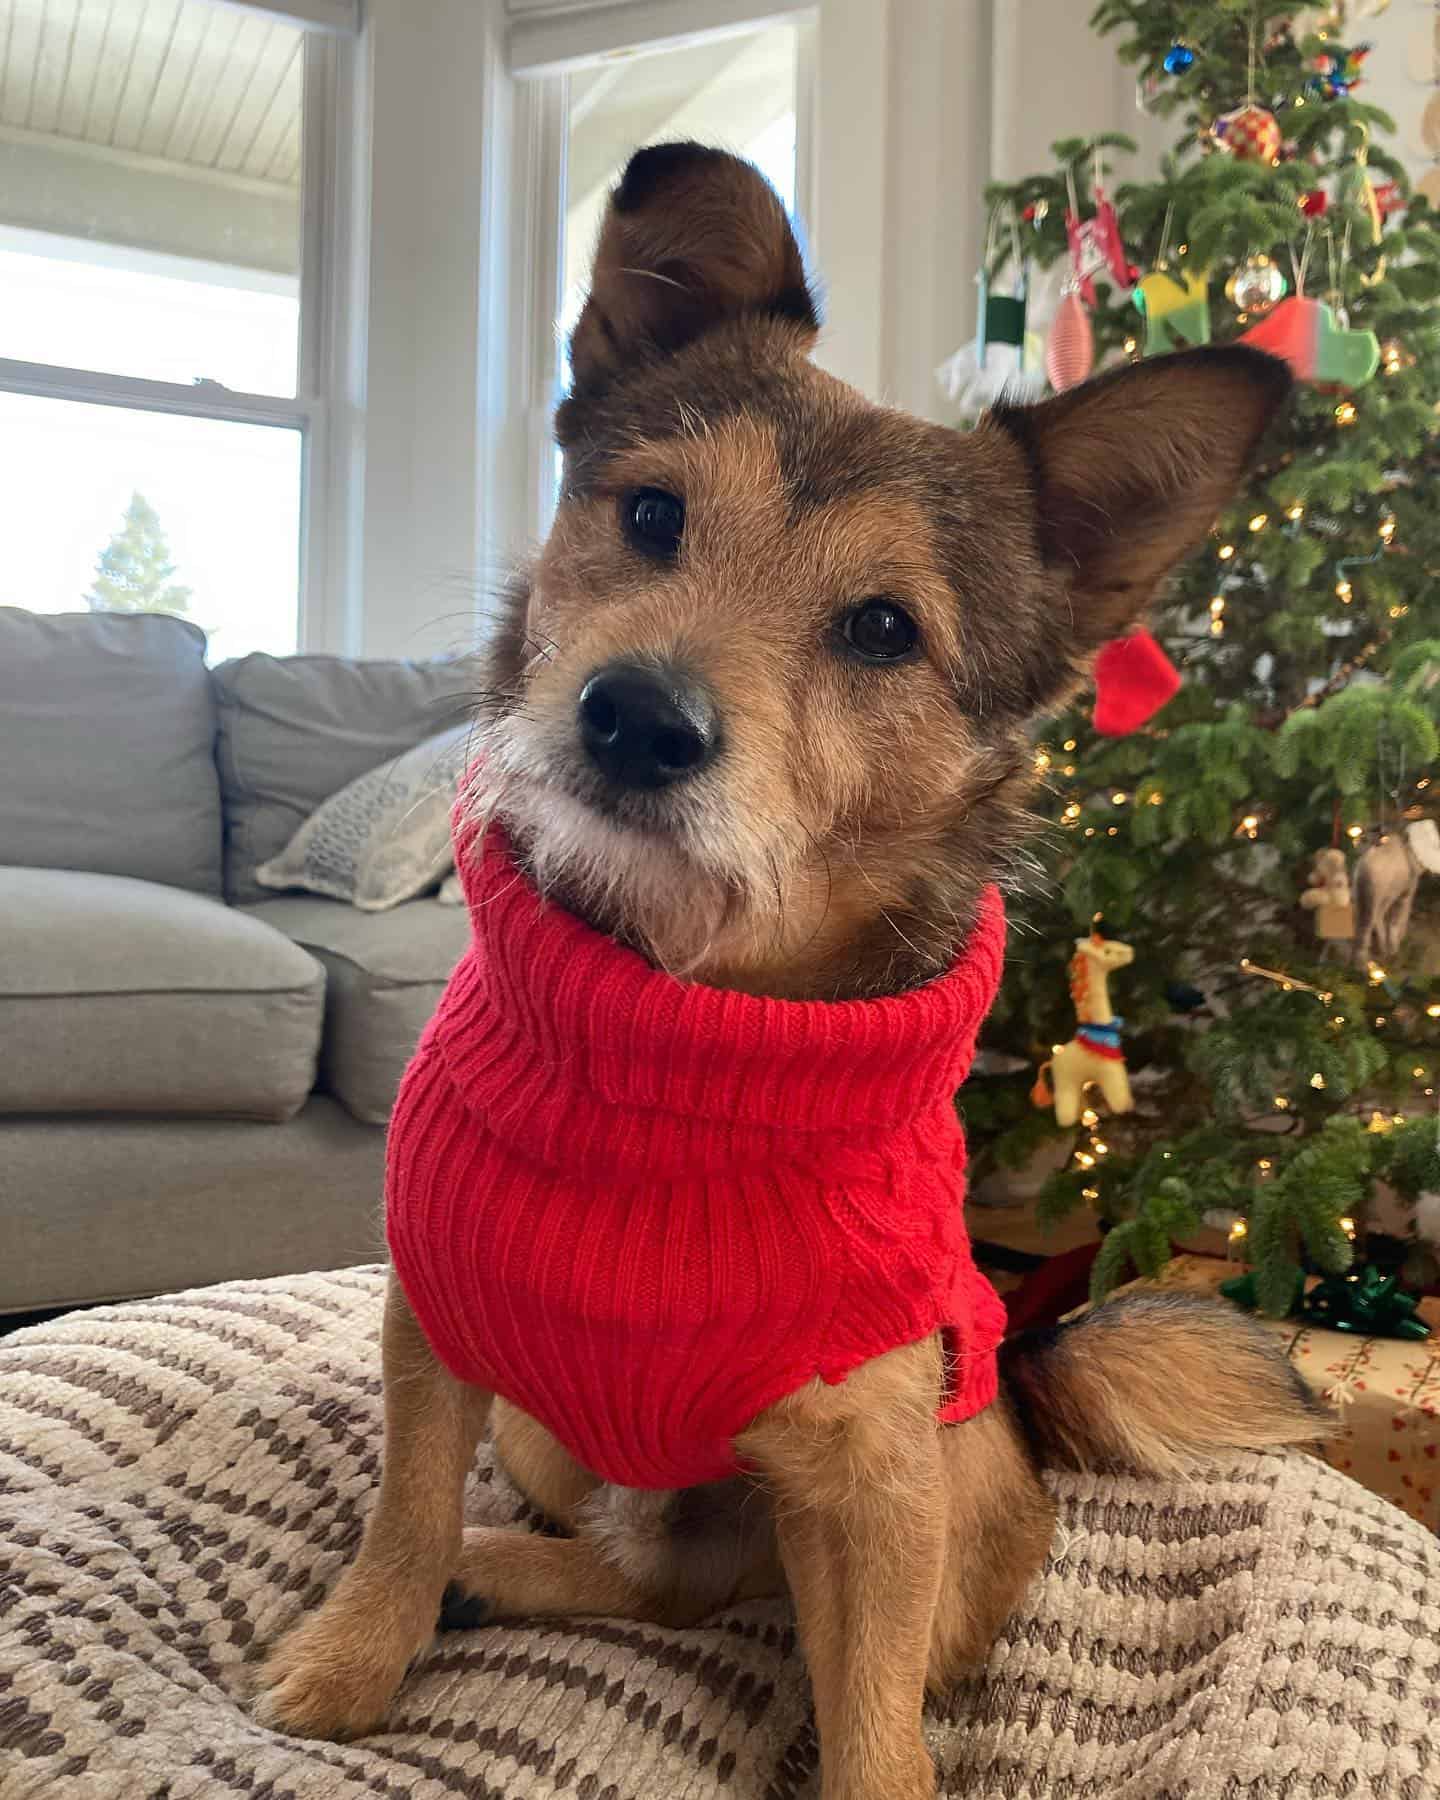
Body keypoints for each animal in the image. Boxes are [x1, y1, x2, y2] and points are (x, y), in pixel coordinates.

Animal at [253, 144, 1324, 1800]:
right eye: (649, 515)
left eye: (883, 627)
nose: (636, 719)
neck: (683, 1022)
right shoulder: (433, 1327)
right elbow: (405, 1509)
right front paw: (358, 1655)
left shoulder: (877, 1477)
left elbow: (875, 1726)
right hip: (553, 1432)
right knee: (648, 1575)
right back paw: (495, 1573)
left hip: (940, 1464)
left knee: (730, 1600)